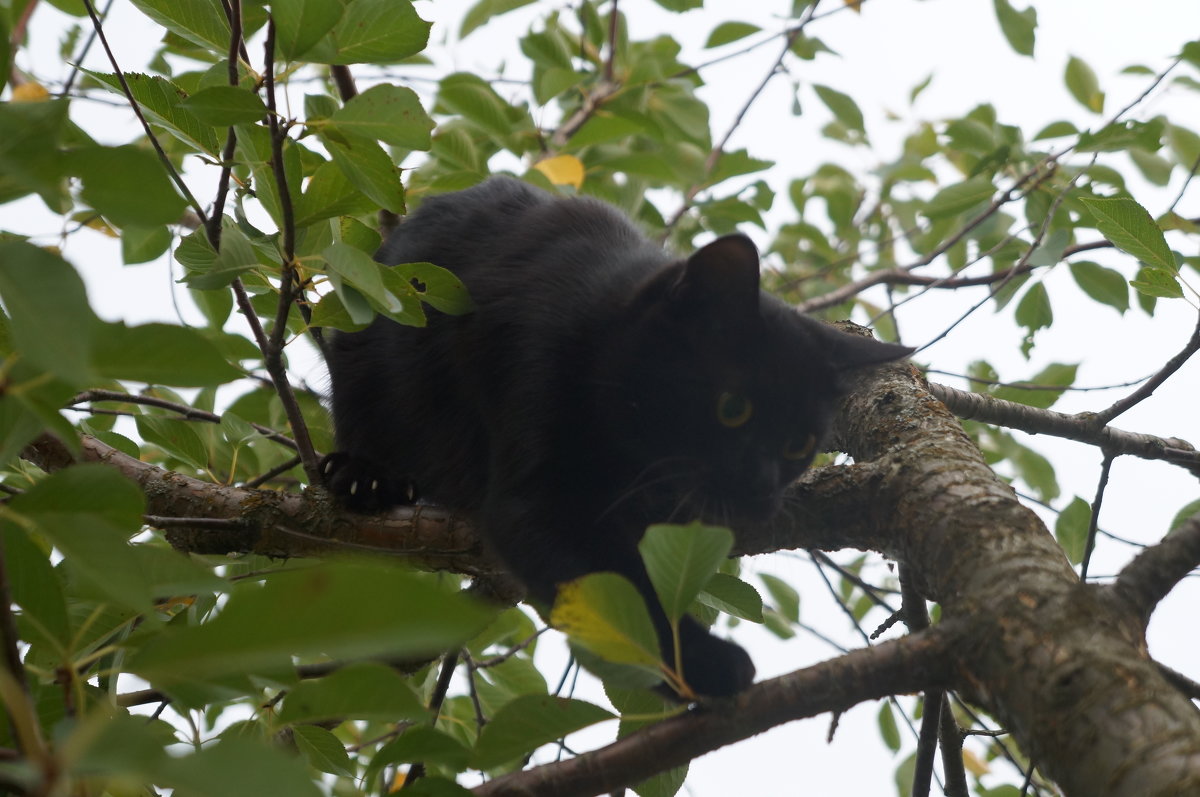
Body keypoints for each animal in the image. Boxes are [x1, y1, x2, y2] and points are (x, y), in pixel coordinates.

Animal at [324, 176, 912, 696]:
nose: (762, 489)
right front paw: (706, 666)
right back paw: (365, 476)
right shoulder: (537, 484)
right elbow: (625, 596)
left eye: (798, 445)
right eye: (733, 409)